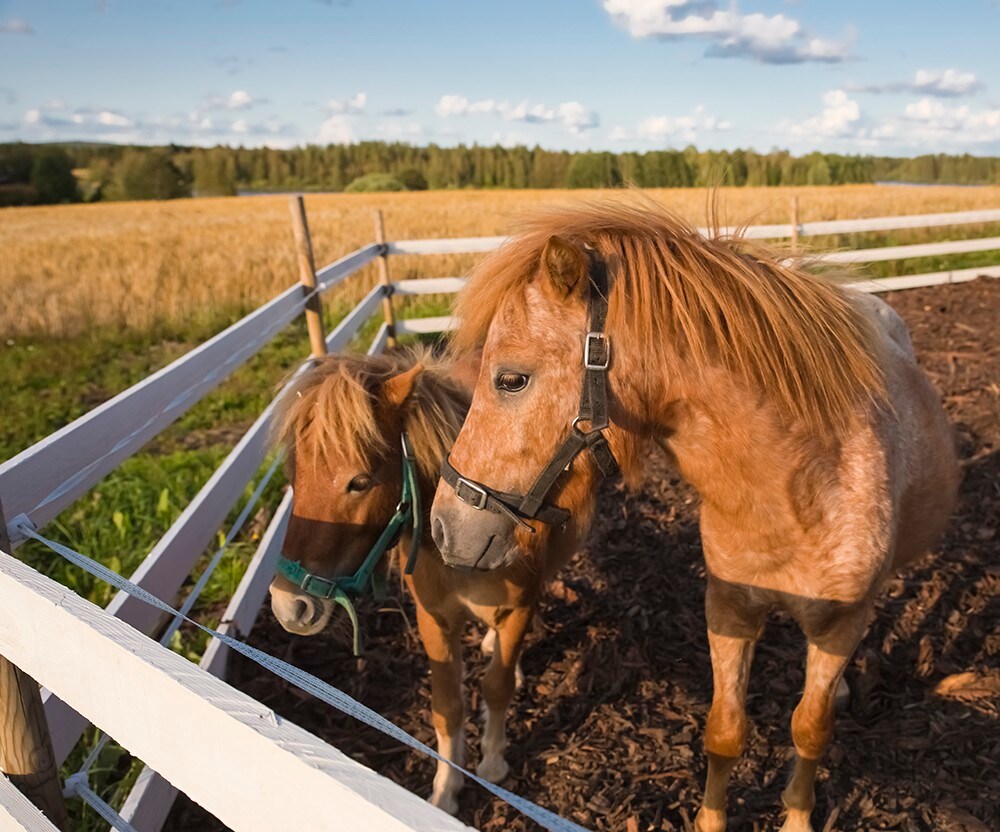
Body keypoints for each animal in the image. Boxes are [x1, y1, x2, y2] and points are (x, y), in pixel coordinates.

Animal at [270, 350, 576, 812]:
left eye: (360, 482)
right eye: (293, 476)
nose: (288, 605)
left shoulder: (518, 609)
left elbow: (497, 686)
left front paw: (492, 762)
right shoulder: (433, 620)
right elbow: (447, 707)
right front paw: (447, 786)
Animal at [432, 202, 960, 832]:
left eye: (511, 378)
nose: (442, 526)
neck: (799, 487)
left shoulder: (839, 623)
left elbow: (809, 731)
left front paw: (798, 815)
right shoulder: (728, 609)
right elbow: (724, 732)